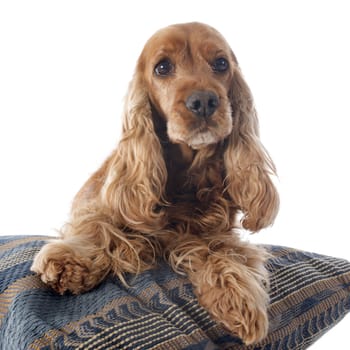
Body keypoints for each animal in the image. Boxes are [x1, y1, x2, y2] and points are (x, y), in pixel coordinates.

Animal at [32, 22, 278, 344]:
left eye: (221, 63)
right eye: (162, 67)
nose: (204, 102)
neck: (186, 171)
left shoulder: (214, 230)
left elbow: (220, 249)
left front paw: (237, 298)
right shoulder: (103, 205)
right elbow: (98, 227)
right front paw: (68, 263)